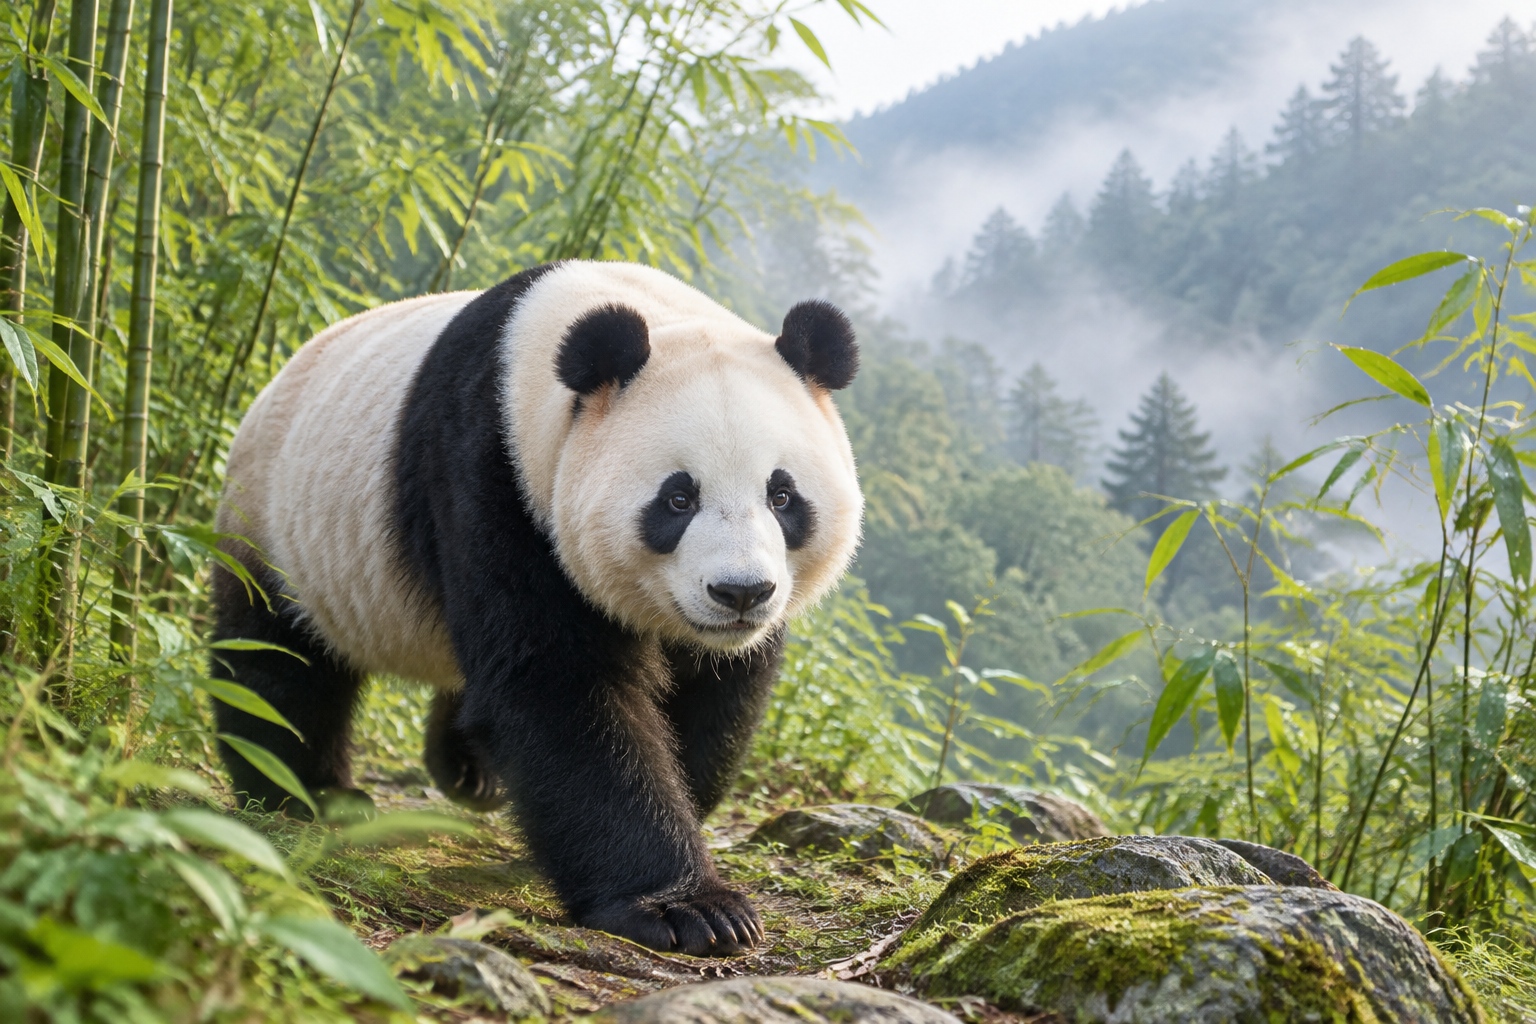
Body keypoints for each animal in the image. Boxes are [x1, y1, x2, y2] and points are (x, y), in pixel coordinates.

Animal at [210, 260, 862, 956]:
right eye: (678, 498)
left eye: (783, 495)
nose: (740, 593)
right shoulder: (491, 475)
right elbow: (557, 686)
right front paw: (688, 908)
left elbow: (713, 695)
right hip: (278, 530)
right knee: (278, 664)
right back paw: (303, 795)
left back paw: (464, 770)